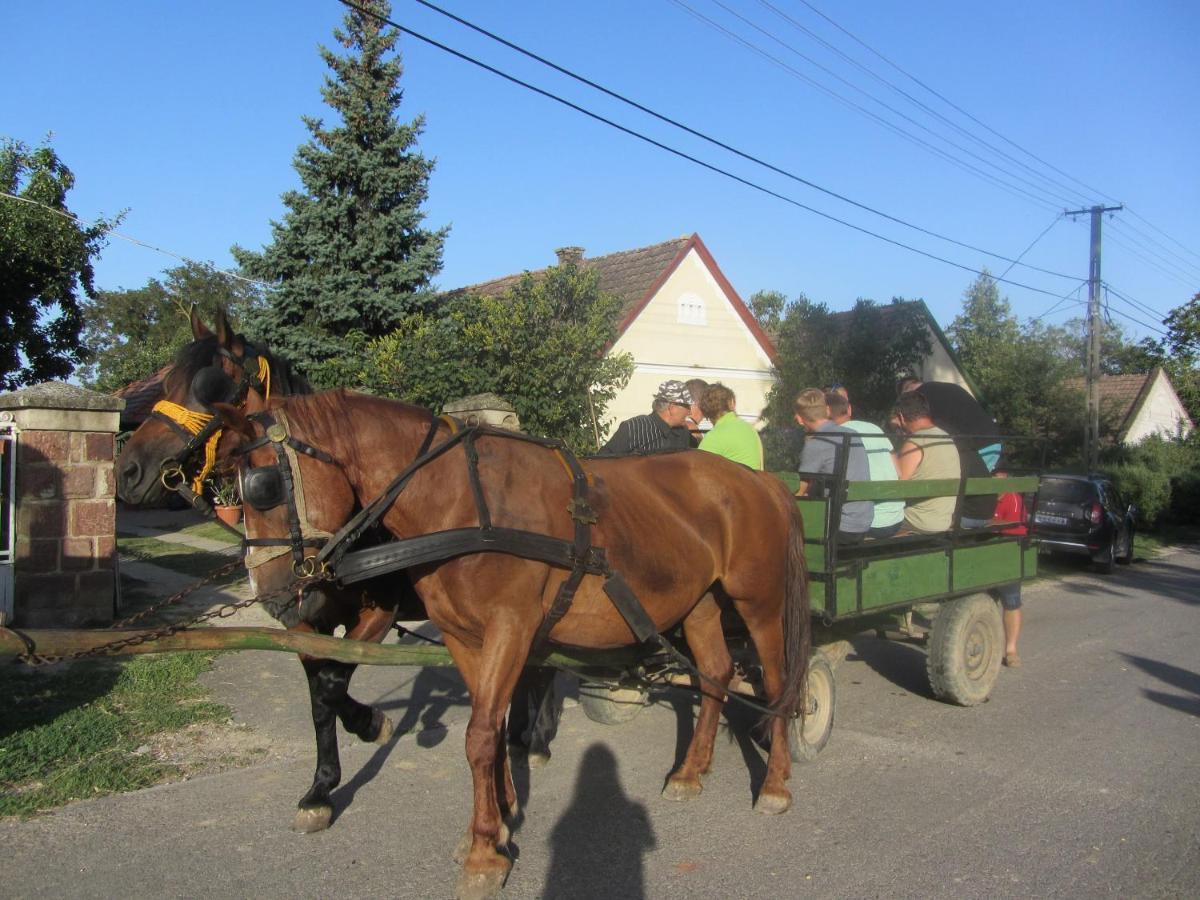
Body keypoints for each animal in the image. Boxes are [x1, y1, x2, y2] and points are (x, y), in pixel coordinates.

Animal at [217, 393, 816, 900]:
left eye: (265, 485)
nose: (273, 592)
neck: (463, 502)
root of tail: (760, 481)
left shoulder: (511, 627)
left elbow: (481, 735)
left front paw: (484, 851)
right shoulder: (465, 638)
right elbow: (492, 727)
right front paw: (501, 823)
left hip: (760, 603)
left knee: (778, 685)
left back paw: (776, 784)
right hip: (700, 603)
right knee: (715, 672)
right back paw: (691, 771)